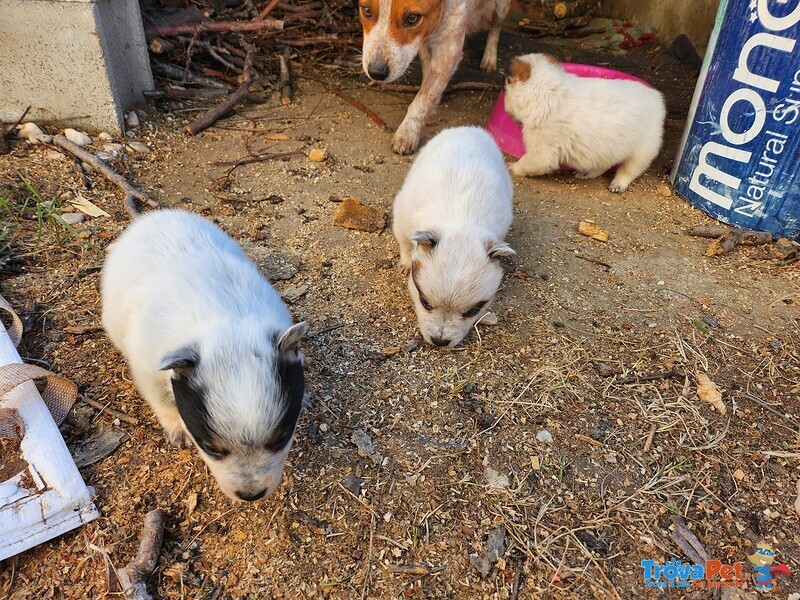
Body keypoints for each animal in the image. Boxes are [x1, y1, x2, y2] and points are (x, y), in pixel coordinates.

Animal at [101, 211, 308, 502]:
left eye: (282, 438)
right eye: (210, 447)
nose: (251, 495)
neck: (227, 324)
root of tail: (152, 217)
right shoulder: (146, 368)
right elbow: (161, 399)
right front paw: (177, 428)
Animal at [360, 0, 510, 155]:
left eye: (412, 18)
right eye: (366, 11)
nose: (376, 72)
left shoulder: (450, 48)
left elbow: (425, 96)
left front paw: (407, 132)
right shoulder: (424, 36)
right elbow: (428, 73)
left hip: (502, 8)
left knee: (496, 26)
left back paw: (489, 58)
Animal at [392, 126, 512, 346]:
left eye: (472, 311)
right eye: (424, 302)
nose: (439, 341)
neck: (461, 219)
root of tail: (469, 128)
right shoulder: (402, 217)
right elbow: (405, 243)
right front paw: (405, 263)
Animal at [504, 54, 664, 192]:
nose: (506, 110)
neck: (548, 92)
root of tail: (657, 98)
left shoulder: (542, 152)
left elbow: (526, 162)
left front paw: (512, 167)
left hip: (642, 152)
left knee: (627, 171)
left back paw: (617, 185)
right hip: (607, 149)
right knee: (603, 165)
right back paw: (585, 173)